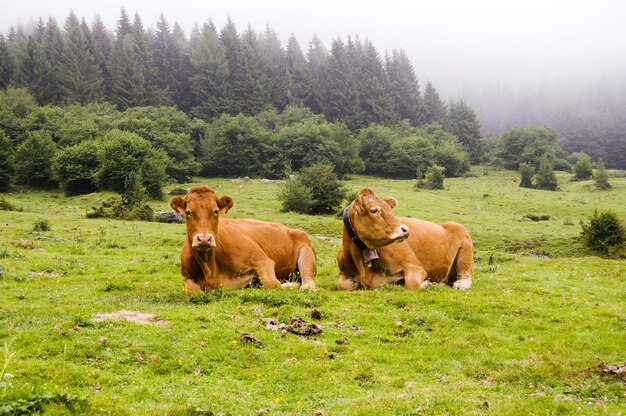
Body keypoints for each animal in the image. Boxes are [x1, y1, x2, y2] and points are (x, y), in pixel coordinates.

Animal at [168, 185, 314, 292]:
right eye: (188, 212)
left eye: (215, 211)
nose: (204, 239)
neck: (210, 269)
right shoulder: (186, 276)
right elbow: (193, 290)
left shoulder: (262, 260)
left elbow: (272, 283)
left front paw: (288, 285)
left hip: (306, 253)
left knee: (308, 284)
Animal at [336, 188, 472, 290]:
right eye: (373, 210)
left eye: (390, 209)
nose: (406, 229)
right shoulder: (343, 272)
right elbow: (343, 285)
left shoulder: (414, 266)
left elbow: (412, 284)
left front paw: (426, 283)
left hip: (464, 243)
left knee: (465, 275)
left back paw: (459, 284)